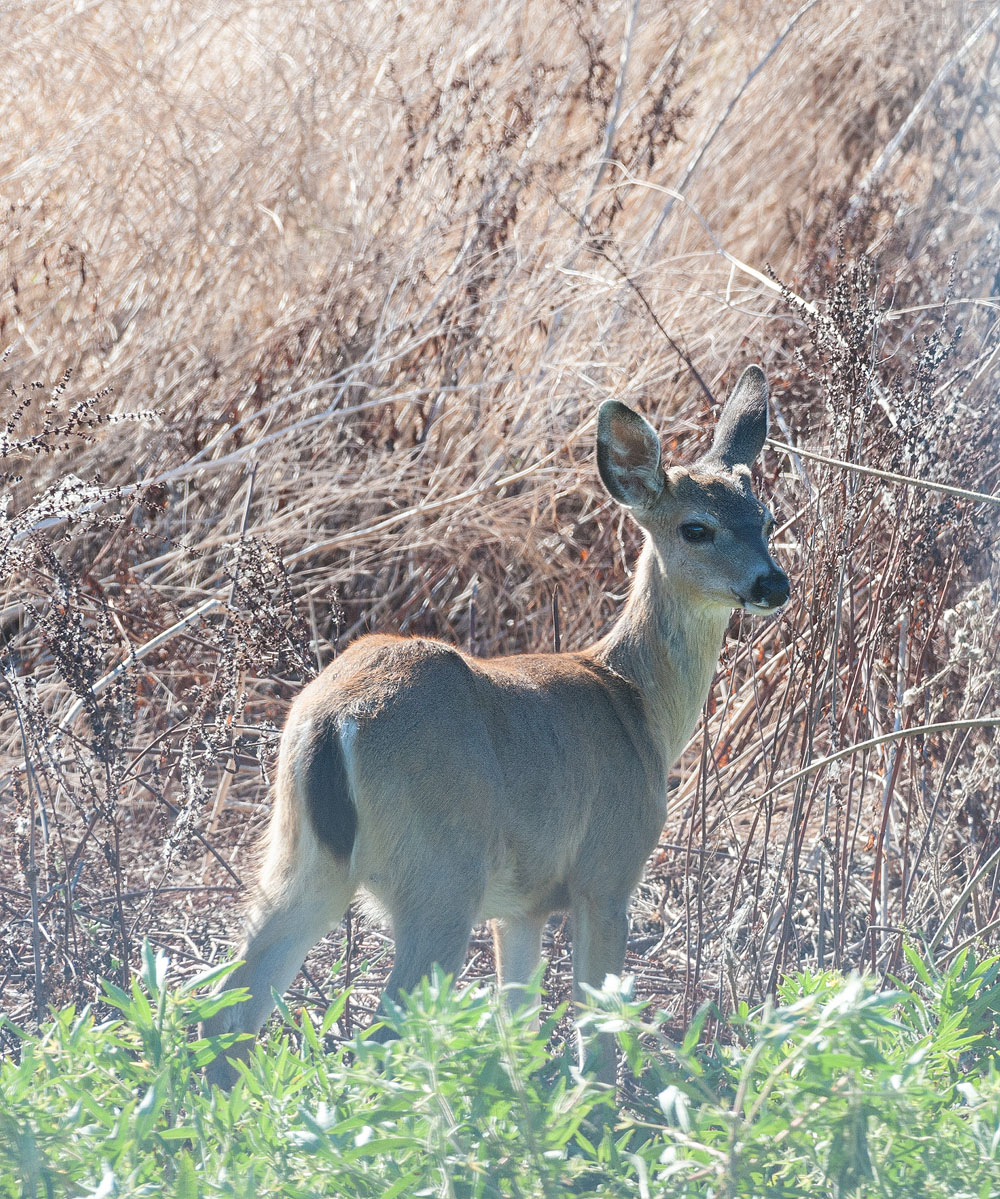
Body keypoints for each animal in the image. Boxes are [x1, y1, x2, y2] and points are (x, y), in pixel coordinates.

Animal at [202, 364, 789, 1087]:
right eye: (697, 528)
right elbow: (595, 1036)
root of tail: (332, 721)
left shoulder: (522, 905)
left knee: (229, 1011)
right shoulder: (607, 871)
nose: (773, 583)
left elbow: (519, 1023)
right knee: (376, 1034)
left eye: (764, 517)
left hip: (298, 856)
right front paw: (596, 1103)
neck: (636, 704)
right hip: (440, 873)